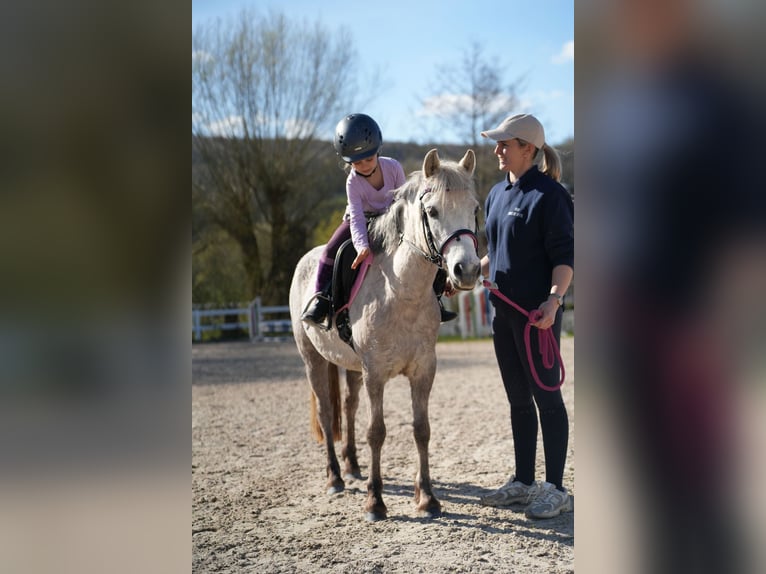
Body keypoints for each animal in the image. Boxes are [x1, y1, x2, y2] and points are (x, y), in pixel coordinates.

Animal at [289, 148, 481, 521]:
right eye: (432, 211)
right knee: (326, 412)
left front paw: (428, 498)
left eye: (475, 208)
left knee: (348, 407)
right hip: (313, 360)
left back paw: (352, 467)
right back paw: (335, 477)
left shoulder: (423, 370)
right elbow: (377, 432)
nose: (466, 270)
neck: (401, 290)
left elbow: (422, 429)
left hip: (351, 367)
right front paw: (375, 501)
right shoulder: (375, 373)